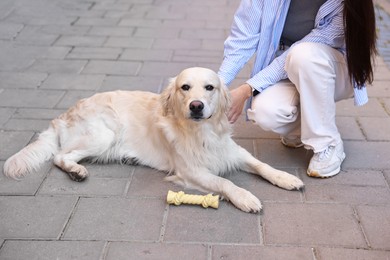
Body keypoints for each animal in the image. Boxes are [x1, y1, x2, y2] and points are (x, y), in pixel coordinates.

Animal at [2, 67, 304, 213]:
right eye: (185, 87)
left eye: (210, 87)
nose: (196, 106)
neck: (202, 132)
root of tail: (63, 115)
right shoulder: (190, 171)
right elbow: (225, 182)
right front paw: (245, 197)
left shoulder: (232, 151)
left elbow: (262, 165)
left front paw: (287, 178)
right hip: (104, 134)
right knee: (59, 155)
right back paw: (76, 172)